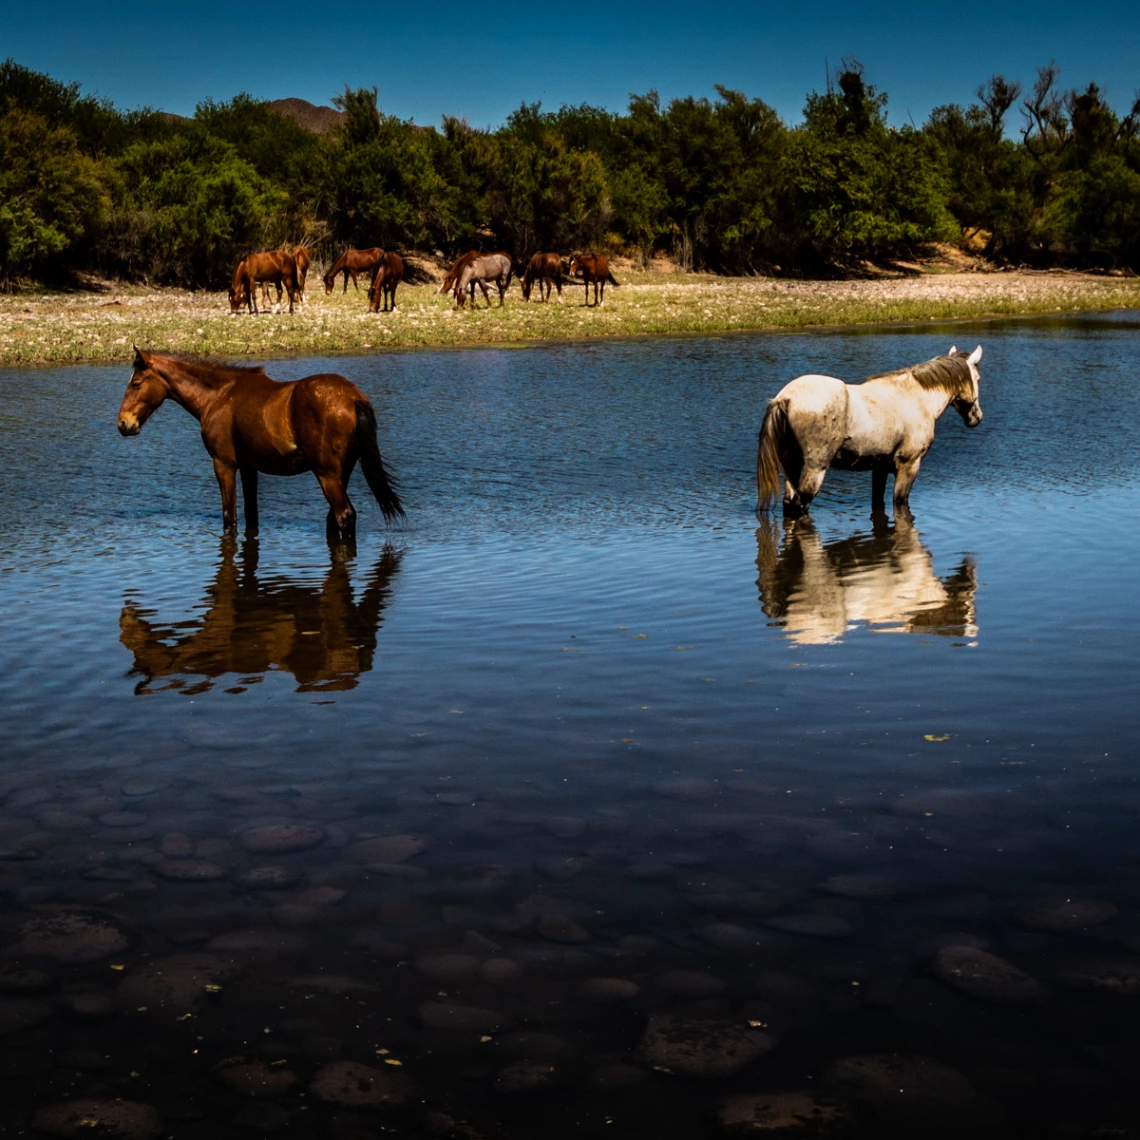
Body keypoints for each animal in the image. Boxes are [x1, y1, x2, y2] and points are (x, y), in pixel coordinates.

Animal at [119, 348, 405, 540]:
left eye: (136, 383)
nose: (123, 423)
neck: (219, 396)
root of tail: (353, 397)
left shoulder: (223, 464)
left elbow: (230, 517)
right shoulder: (249, 468)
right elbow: (251, 515)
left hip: (327, 474)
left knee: (344, 515)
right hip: (342, 472)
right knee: (334, 518)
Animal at [752, 342, 984, 513]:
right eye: (978, 378)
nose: (977, 418)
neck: (915, 398)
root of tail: (786, 398)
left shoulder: (879, 468)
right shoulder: (909, 466)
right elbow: (899, 502)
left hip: (791, 466)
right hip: (815, 469)